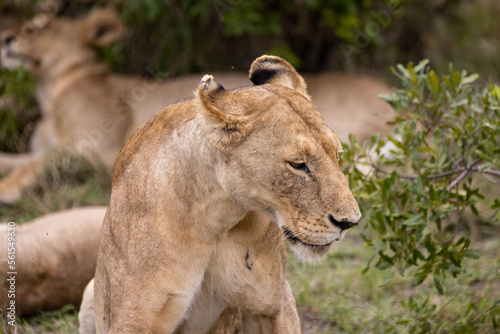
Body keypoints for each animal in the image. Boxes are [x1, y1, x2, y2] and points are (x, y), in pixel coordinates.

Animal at [0, 8, 390, 204]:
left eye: (39, 27)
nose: (6, 37)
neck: (49, 90)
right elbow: (21, 157)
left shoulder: (97, 150)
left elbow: (38, 163)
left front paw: (8, 190)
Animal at [82, 55, 362, 334]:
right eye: (298, 164)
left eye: (337, 154)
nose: (350, 222)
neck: (215, 217)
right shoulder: (134, 320)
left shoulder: (274, 303)